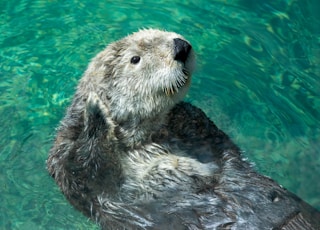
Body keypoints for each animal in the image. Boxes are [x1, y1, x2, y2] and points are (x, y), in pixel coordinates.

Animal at [47, 29, 320, 230]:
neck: (145, 138)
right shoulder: (72, 170)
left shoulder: (198, 127)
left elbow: (218, 146)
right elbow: (88, 167)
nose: (180, 46)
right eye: (135, 59)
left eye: (161, 32)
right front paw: (96, 111)